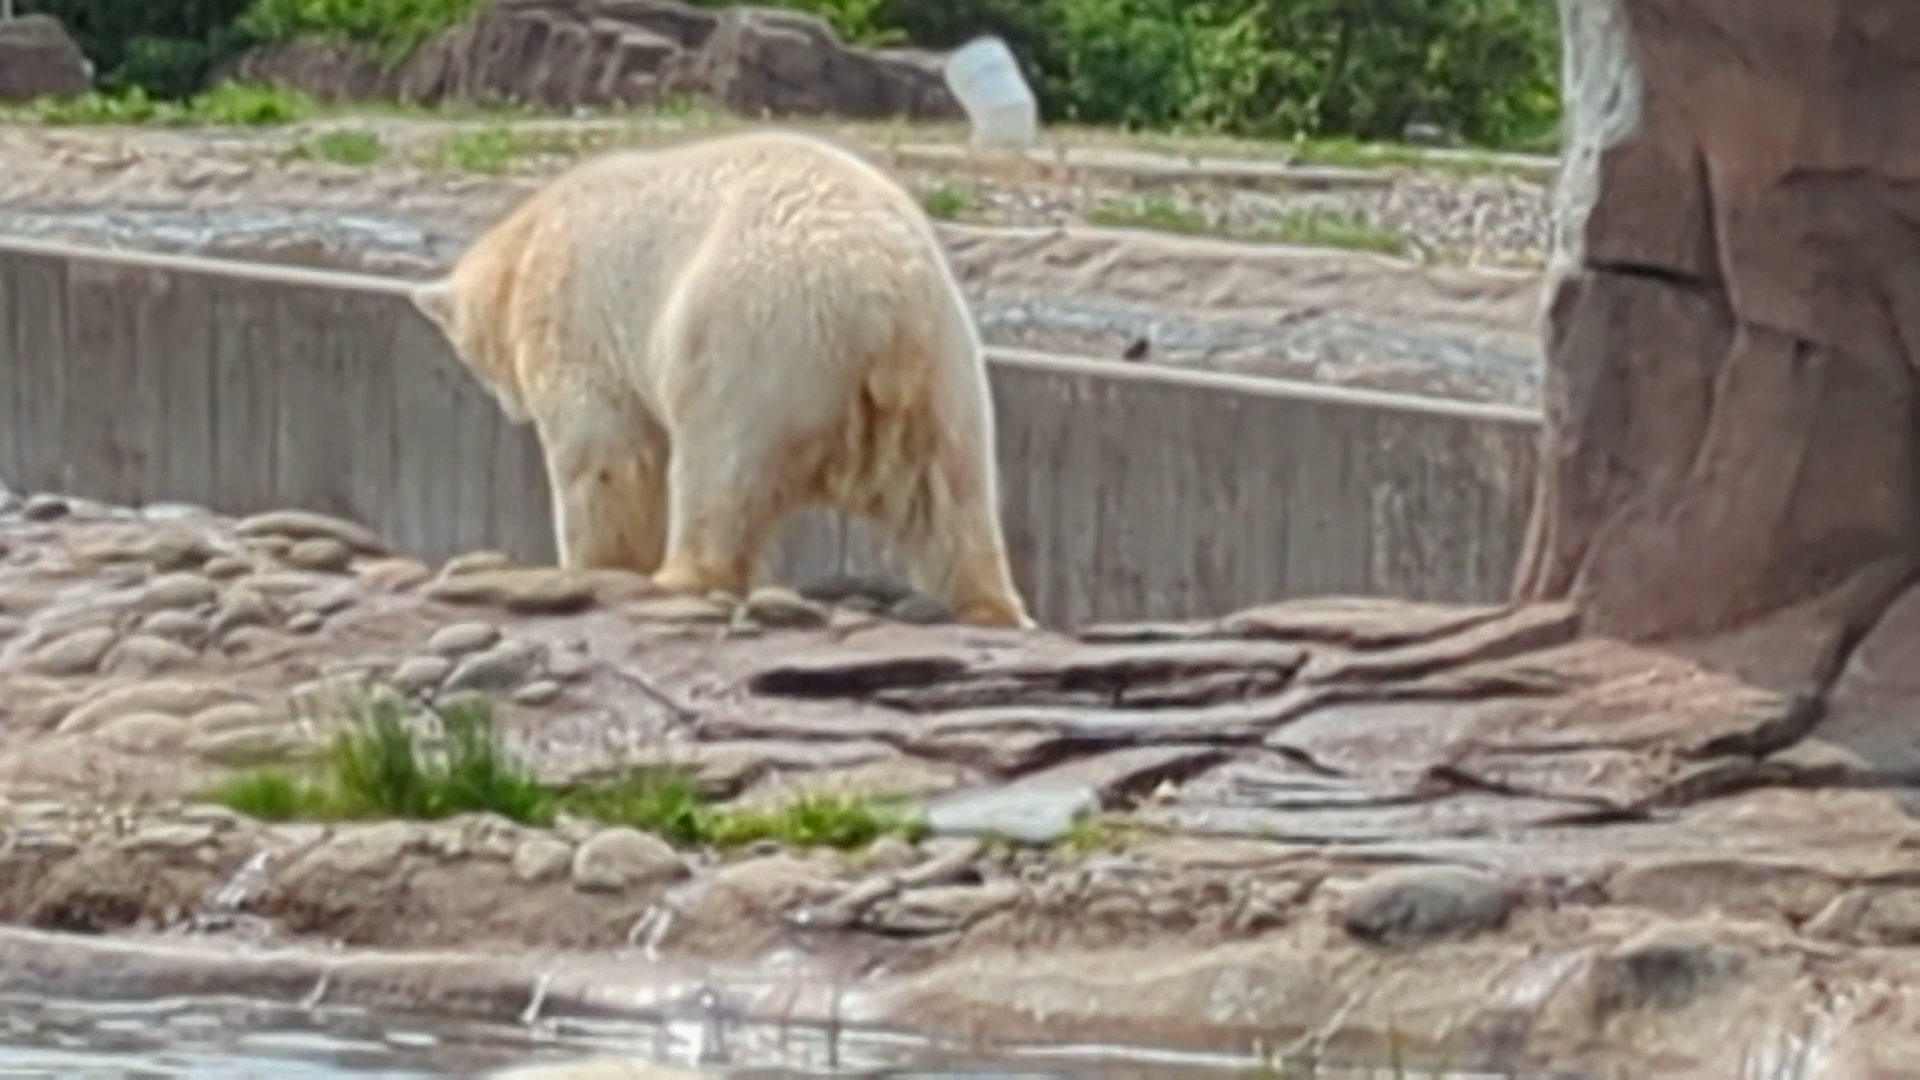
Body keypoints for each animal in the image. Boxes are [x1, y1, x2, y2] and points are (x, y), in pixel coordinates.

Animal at [407, 128, 1034, 629]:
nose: (508, 405)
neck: (529, 242)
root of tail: (881, 285)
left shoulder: (574, 317)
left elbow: (606, 455)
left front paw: (595, 565)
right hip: (944, 367)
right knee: (953, 492)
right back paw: (991, 605)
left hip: (748, 335)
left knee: (718, 467)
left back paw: (679, 575)